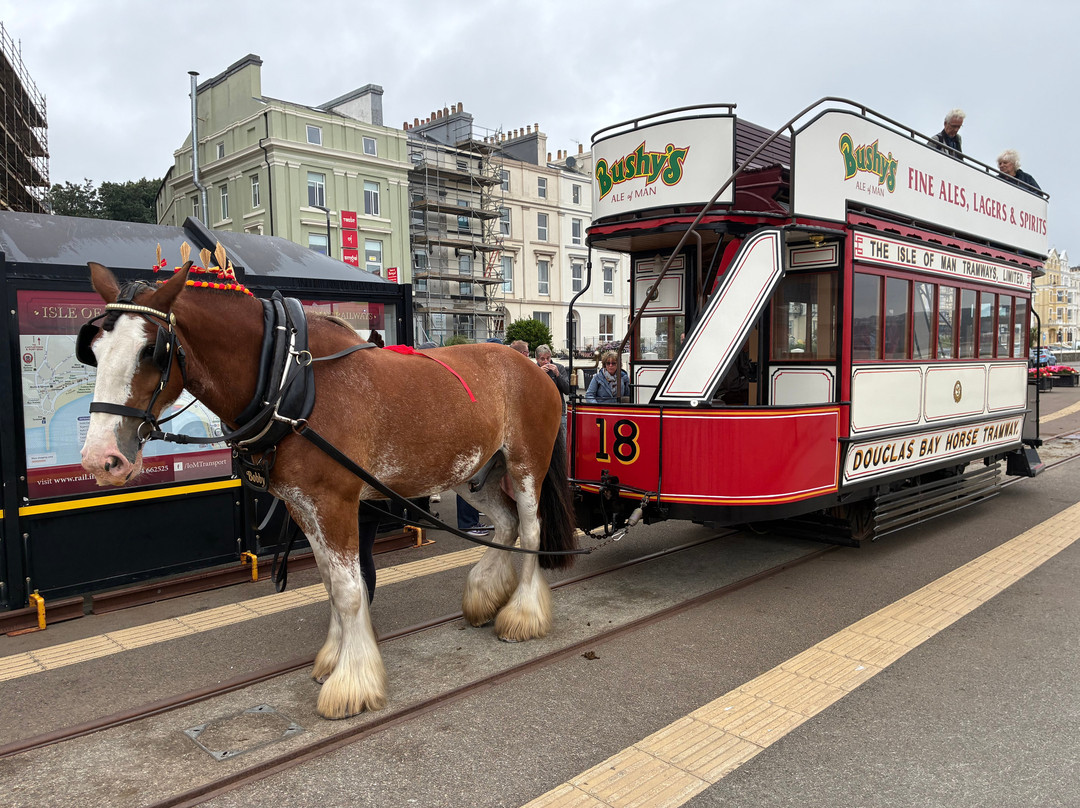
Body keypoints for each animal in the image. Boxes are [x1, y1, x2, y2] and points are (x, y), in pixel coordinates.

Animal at [78, 260, 577, 719]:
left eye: (151, 350)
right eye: (95, 349)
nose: (101, 458)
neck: (287, 381)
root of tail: (532, 367)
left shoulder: (334, 502)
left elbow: (350, 589)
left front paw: (352, 683)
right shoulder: (304, 505)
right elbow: (331, 585)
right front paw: (335, 659)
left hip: (526, 463)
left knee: (531, 528)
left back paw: (523, 614)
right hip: (474, 472)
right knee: (507, 524)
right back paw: (486, 594)